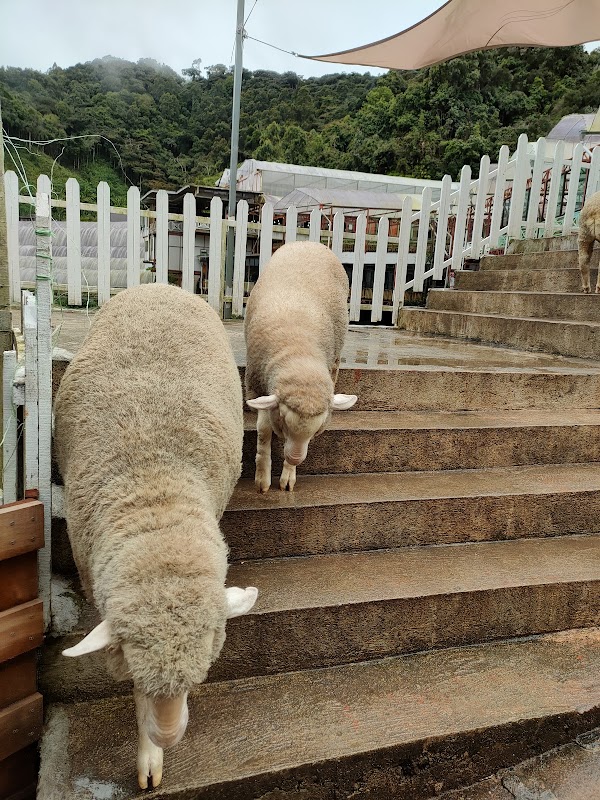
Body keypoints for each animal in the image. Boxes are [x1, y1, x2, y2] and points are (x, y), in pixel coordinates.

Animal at [244, 241, 357, 492]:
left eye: (317, 430)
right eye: (284, 421)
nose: (295, 458)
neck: (298, 350)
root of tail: (311, 242)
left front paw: (288, 475)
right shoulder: (257, 384)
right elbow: (263, 432)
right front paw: (262, 480)